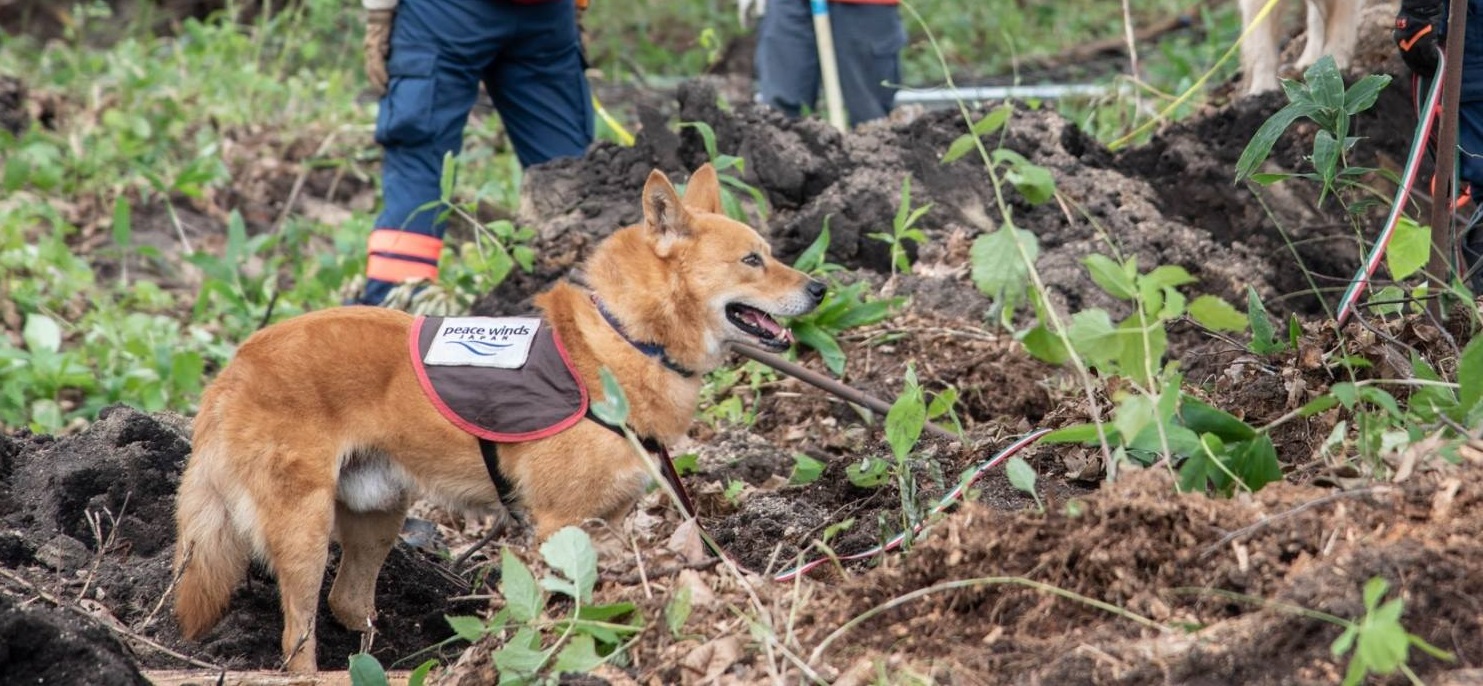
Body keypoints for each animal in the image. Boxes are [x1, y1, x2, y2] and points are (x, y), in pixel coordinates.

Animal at [172, 163, 830, 672]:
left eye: (772, 254)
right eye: (752, 260)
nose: (822, 288)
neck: (623, 340)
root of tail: (235, 367)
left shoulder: (610, 522)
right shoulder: (558, 523)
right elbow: (561, 605)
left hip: (378, 514)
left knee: (347, 602)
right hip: (304, 533)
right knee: (297, 640)